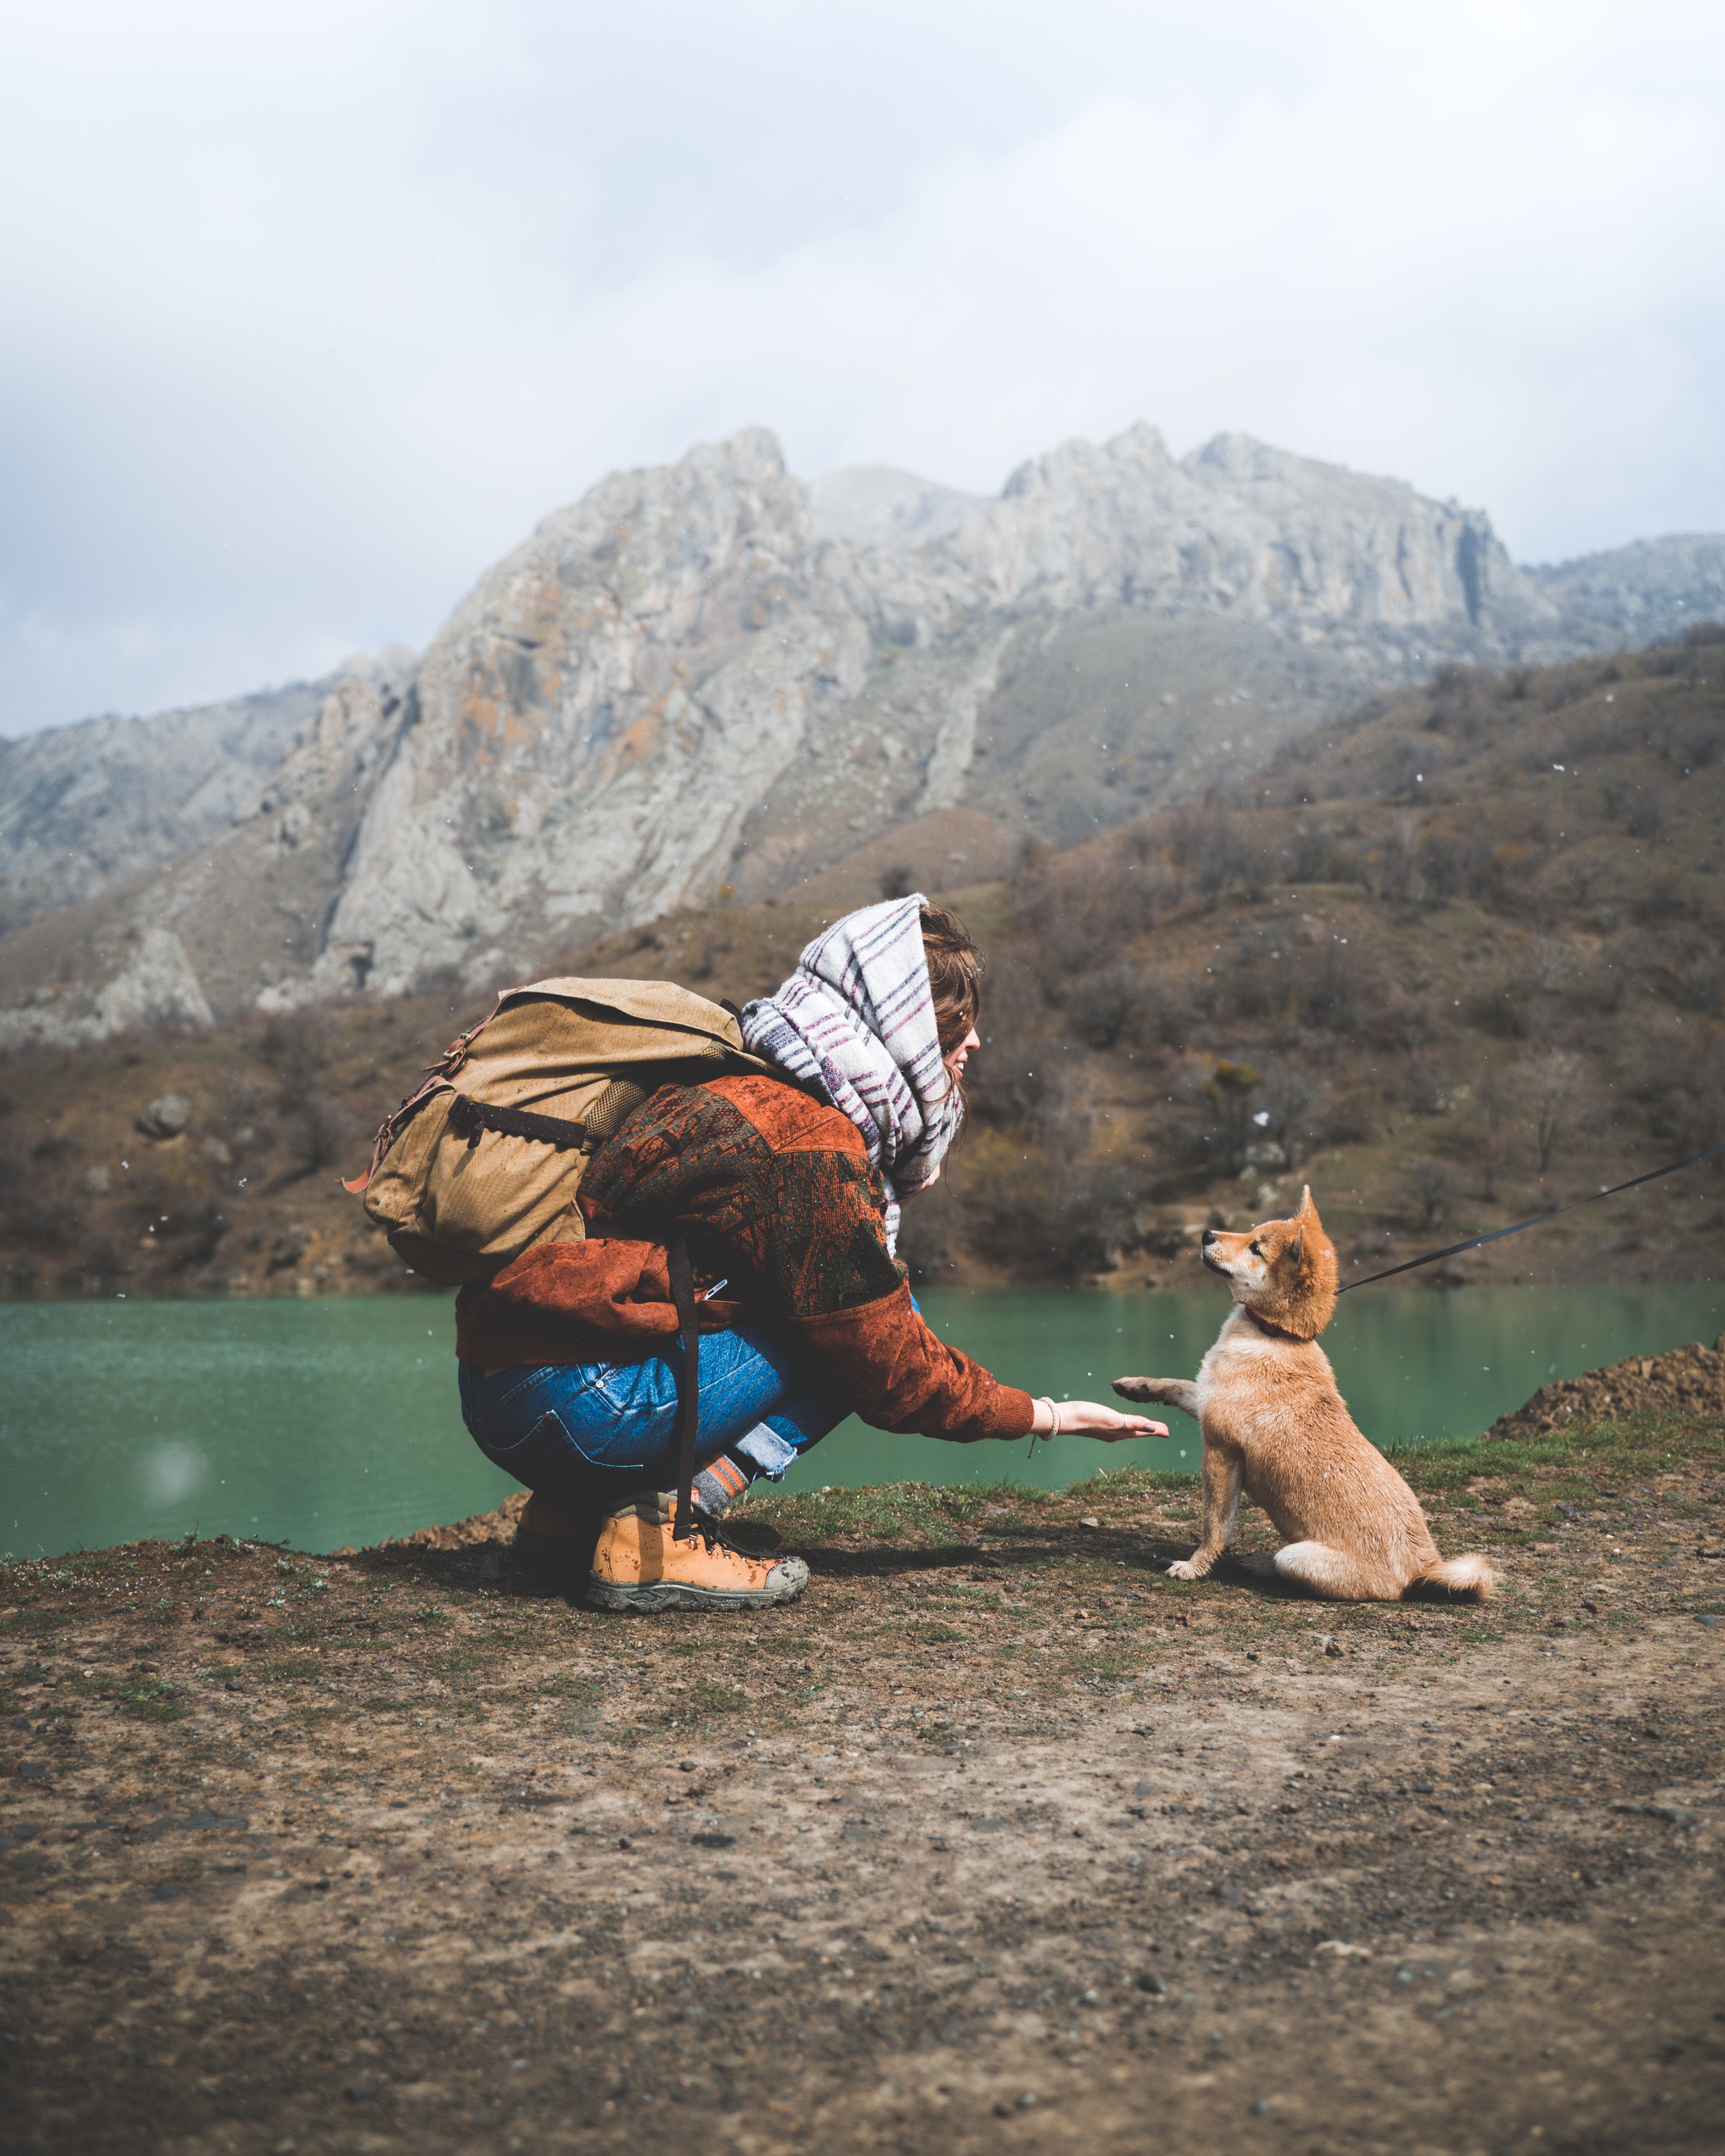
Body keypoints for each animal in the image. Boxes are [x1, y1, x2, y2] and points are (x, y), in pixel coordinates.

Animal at [1121, 1190, 1492, 1595]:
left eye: (1256, 1248)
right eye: (1251, 1231)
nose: (1205, 1234)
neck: (1277, 1334)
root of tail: (1421, 1571)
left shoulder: (1220, 1451)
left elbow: (1215, 1526)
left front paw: (1195, 1566)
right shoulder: (1204, 1398)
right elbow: (1174, 1385)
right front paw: (1136, 1386)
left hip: (1296, 1556)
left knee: (1282, 1565)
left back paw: (1259, 1563)